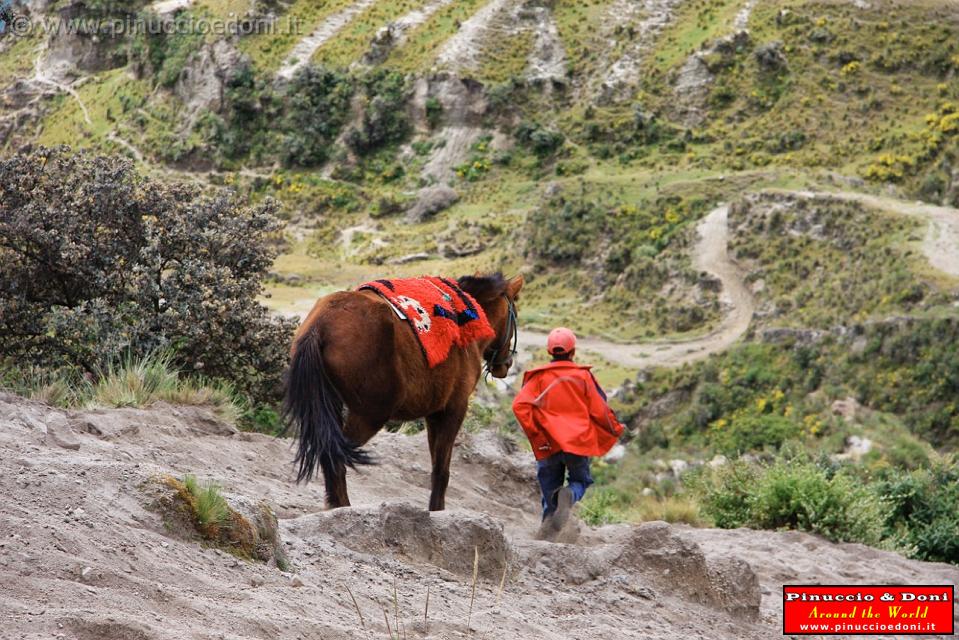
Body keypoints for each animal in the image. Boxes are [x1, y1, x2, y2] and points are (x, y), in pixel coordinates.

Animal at [284, 274, 524, 510]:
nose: (506, 364)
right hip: (370, 415)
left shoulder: (434, 414)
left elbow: (436, 465)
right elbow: (441, 470)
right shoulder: (454, 409)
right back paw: (342, 505)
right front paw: (437, 509)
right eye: (514, 313)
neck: (467, 314)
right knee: (336, 453)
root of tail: (320, 326)